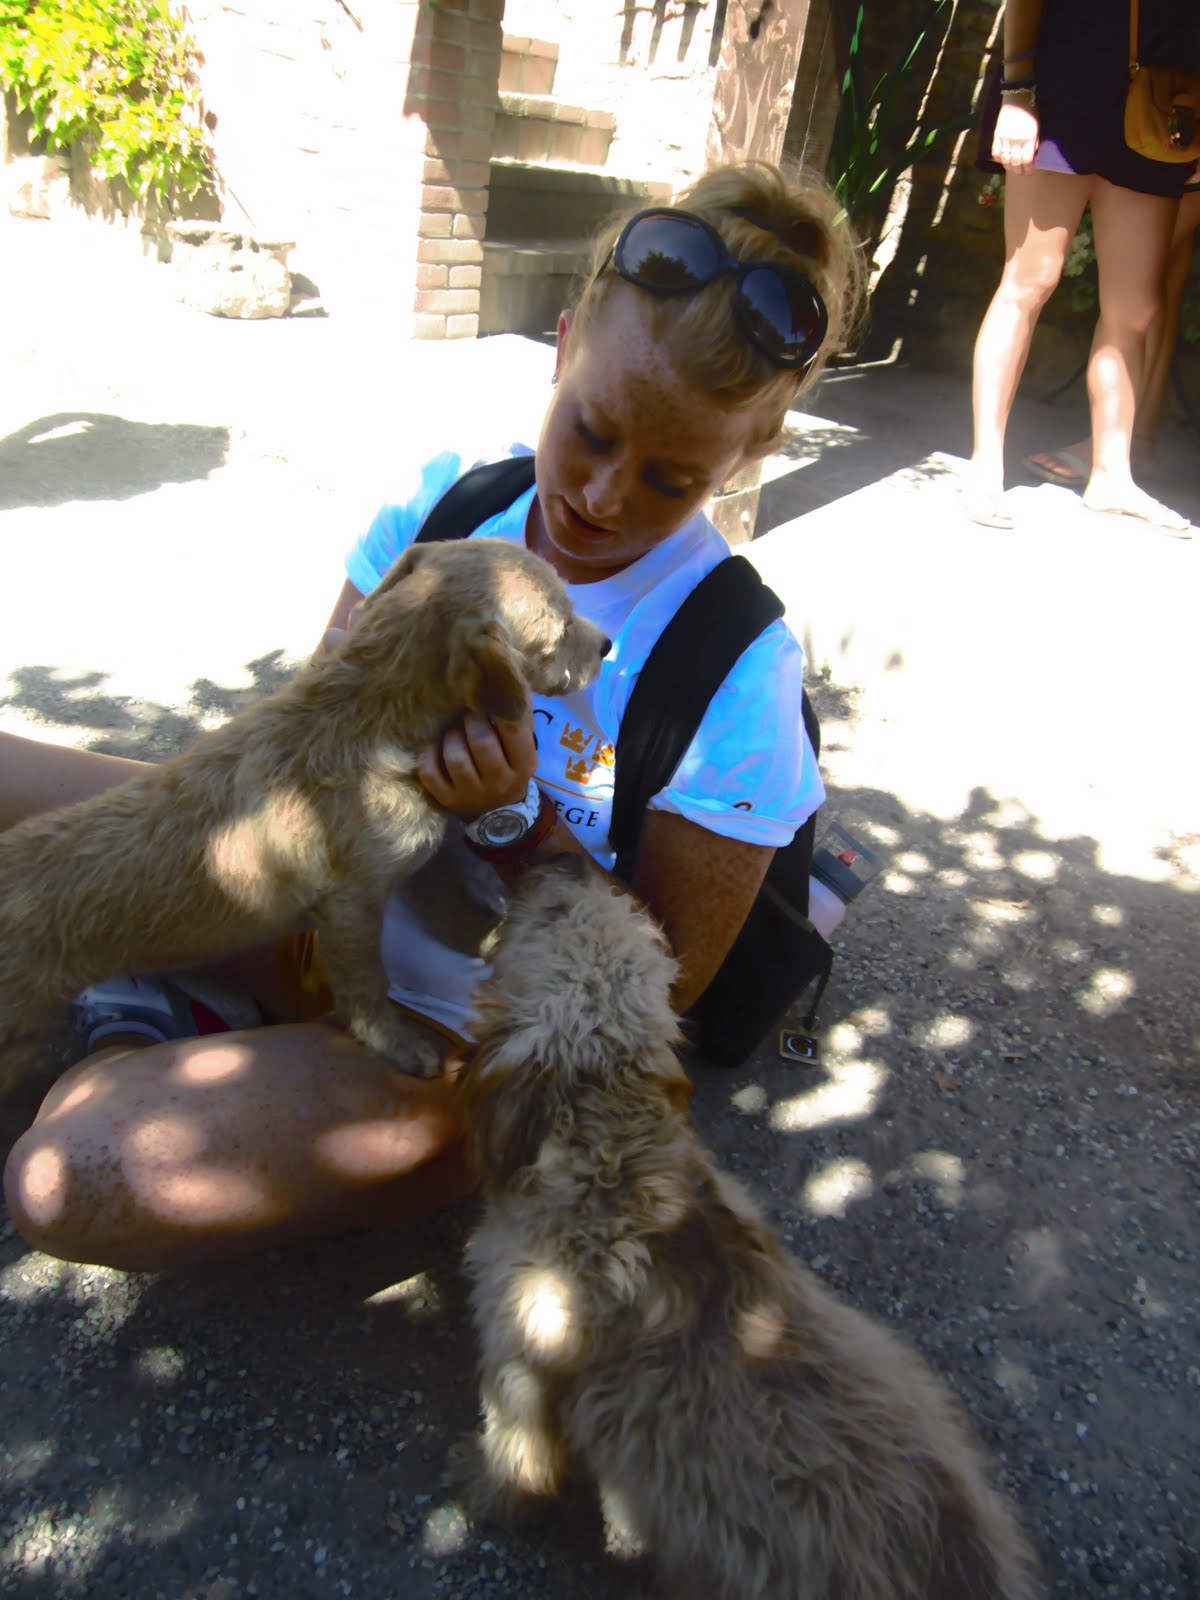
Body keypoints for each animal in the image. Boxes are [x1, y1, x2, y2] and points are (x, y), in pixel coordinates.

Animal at [0, 540, 607, 1093]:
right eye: (559, 630)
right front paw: (397, 1043)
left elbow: (454, 868)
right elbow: (368, 985)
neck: (367, 708)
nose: (605, 644)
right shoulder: (352, 906)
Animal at [456, 864, 1043, 1600]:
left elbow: (516, 1462)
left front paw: (478, 1493)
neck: (612, 1168)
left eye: (555, 913)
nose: (566, 863)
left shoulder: (519, 1369)